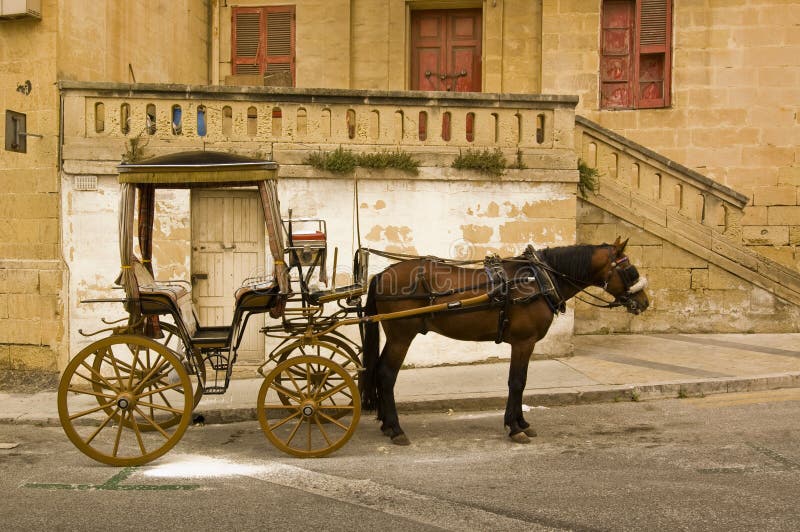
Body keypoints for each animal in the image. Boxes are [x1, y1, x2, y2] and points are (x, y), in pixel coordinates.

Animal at [360, 237, 649, 445]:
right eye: (630, 270)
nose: (644, 302)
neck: (539, 280)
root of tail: (382, 275)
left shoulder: (523, 344)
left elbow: (520, 383)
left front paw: (521, 423)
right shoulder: (524, 342)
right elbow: (517, 382)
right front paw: (514, 427)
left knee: (379, 371)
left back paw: (386, 424)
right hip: (401, 336)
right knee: (386, 374)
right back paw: (395, 428)